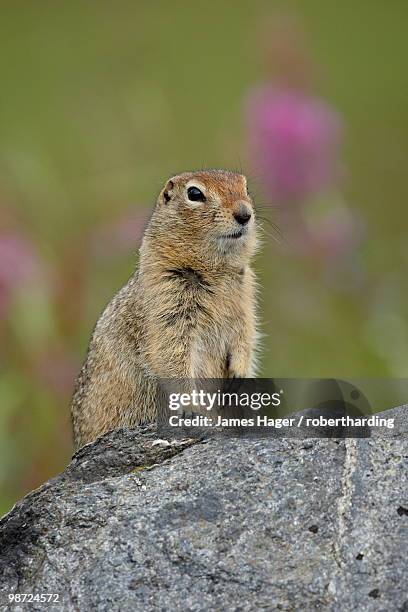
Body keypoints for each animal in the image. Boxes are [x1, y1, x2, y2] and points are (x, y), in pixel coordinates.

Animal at [71, 170, 258, 448]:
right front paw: (191, 407)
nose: (245, 214)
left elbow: (244, 337)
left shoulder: (245, 301)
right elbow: (172, 356)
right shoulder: (166, 305)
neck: (215, 269)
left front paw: (239, 376)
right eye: (194, 193)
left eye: (245, 187)